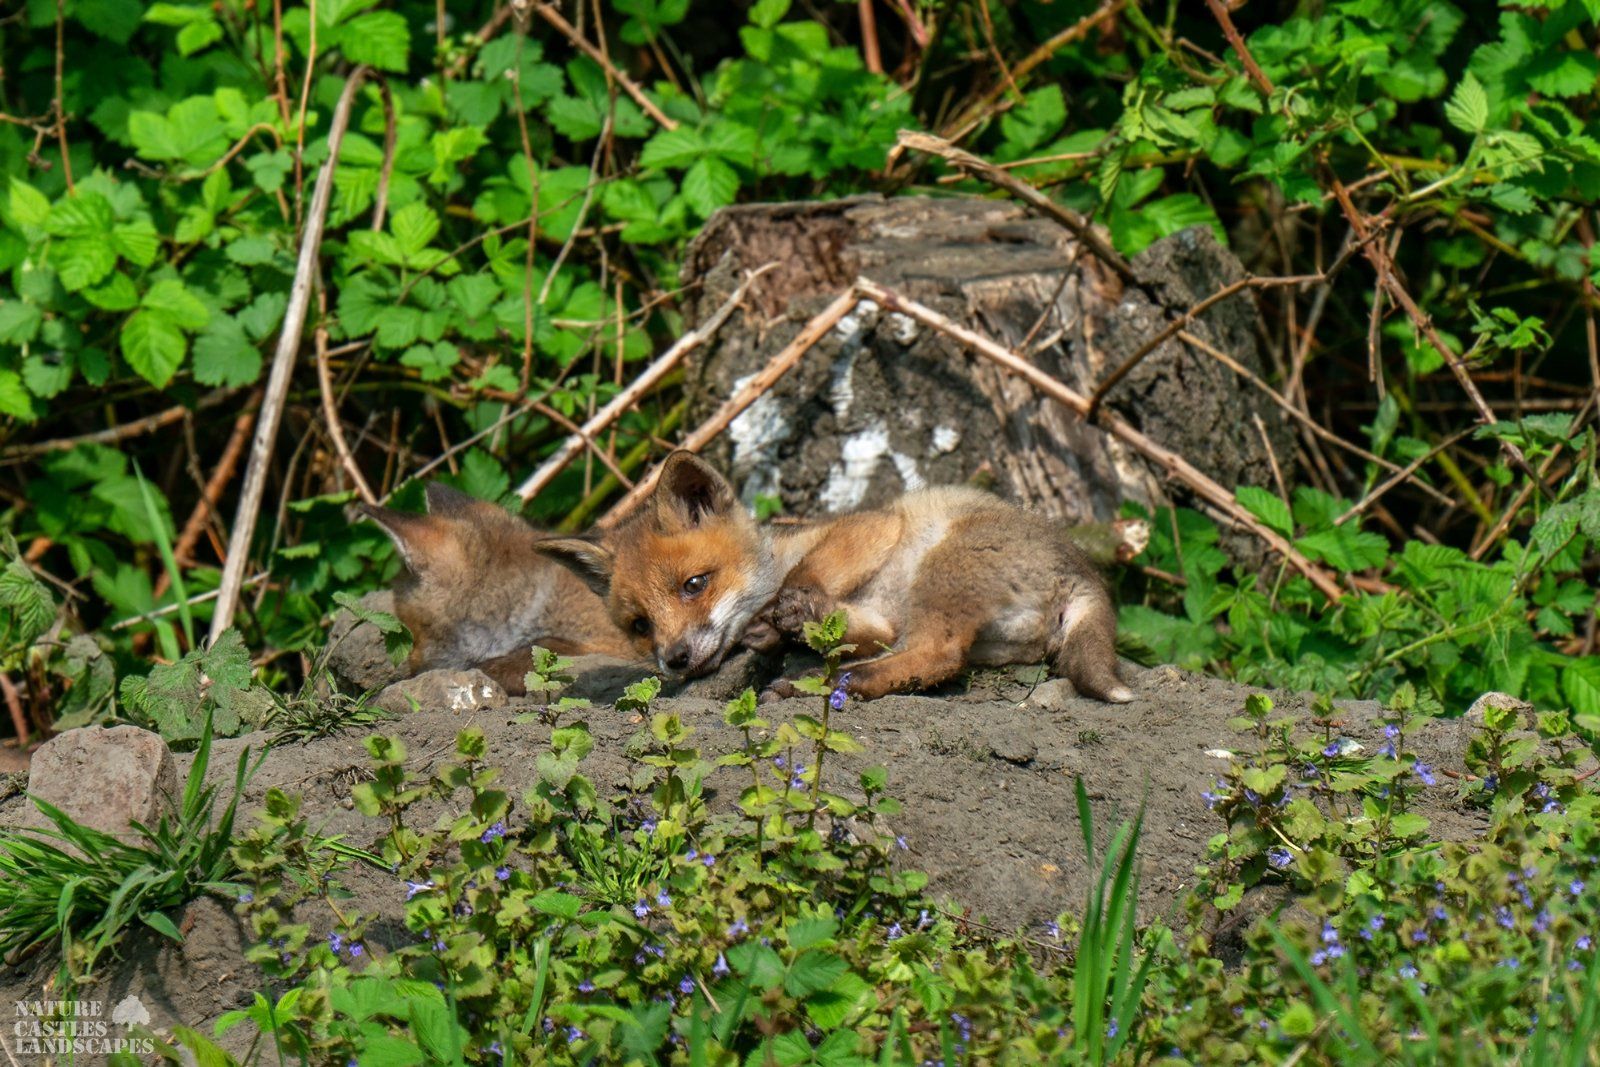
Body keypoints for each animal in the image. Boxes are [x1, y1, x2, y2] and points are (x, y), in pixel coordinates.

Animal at [535, 451, 1134, 703]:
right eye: (639, 626)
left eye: (694, 585)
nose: (675, 660)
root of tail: (1083, 571)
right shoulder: (878, 620)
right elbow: (857, 627)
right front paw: (779, 631)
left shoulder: (873, 526)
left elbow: (805, 575)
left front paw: (784, 612)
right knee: (927, 655)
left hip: (941, 570)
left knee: (938, 657)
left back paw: (838, 683)